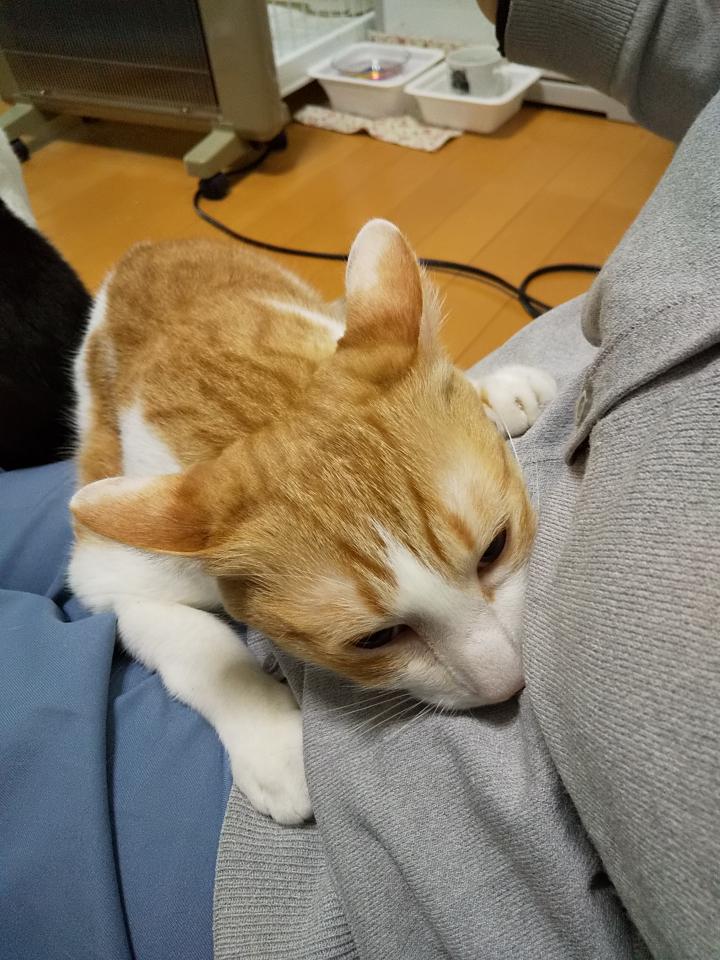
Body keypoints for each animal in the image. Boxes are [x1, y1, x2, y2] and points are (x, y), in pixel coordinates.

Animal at [68, 219, 556, 823]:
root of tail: (144, 250)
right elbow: (195, 644)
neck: (257, 406)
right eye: (377, 639)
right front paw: (275, 747)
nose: (508, 681)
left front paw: (493, 391)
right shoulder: (104, 573)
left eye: (495, 549)